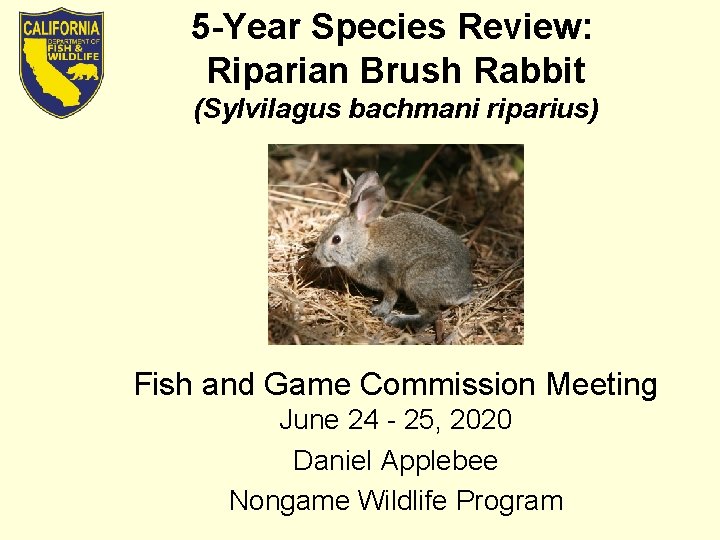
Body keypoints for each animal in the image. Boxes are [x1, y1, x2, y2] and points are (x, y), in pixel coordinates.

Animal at [313, 170, 473, 330]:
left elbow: (391, 298)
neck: (364, 246)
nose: (316, 258)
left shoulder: (387, 280)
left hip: (417, 280)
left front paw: (379, 310)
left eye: (336, 239)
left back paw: (397, 320)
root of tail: (463, 291)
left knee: (431, 314)